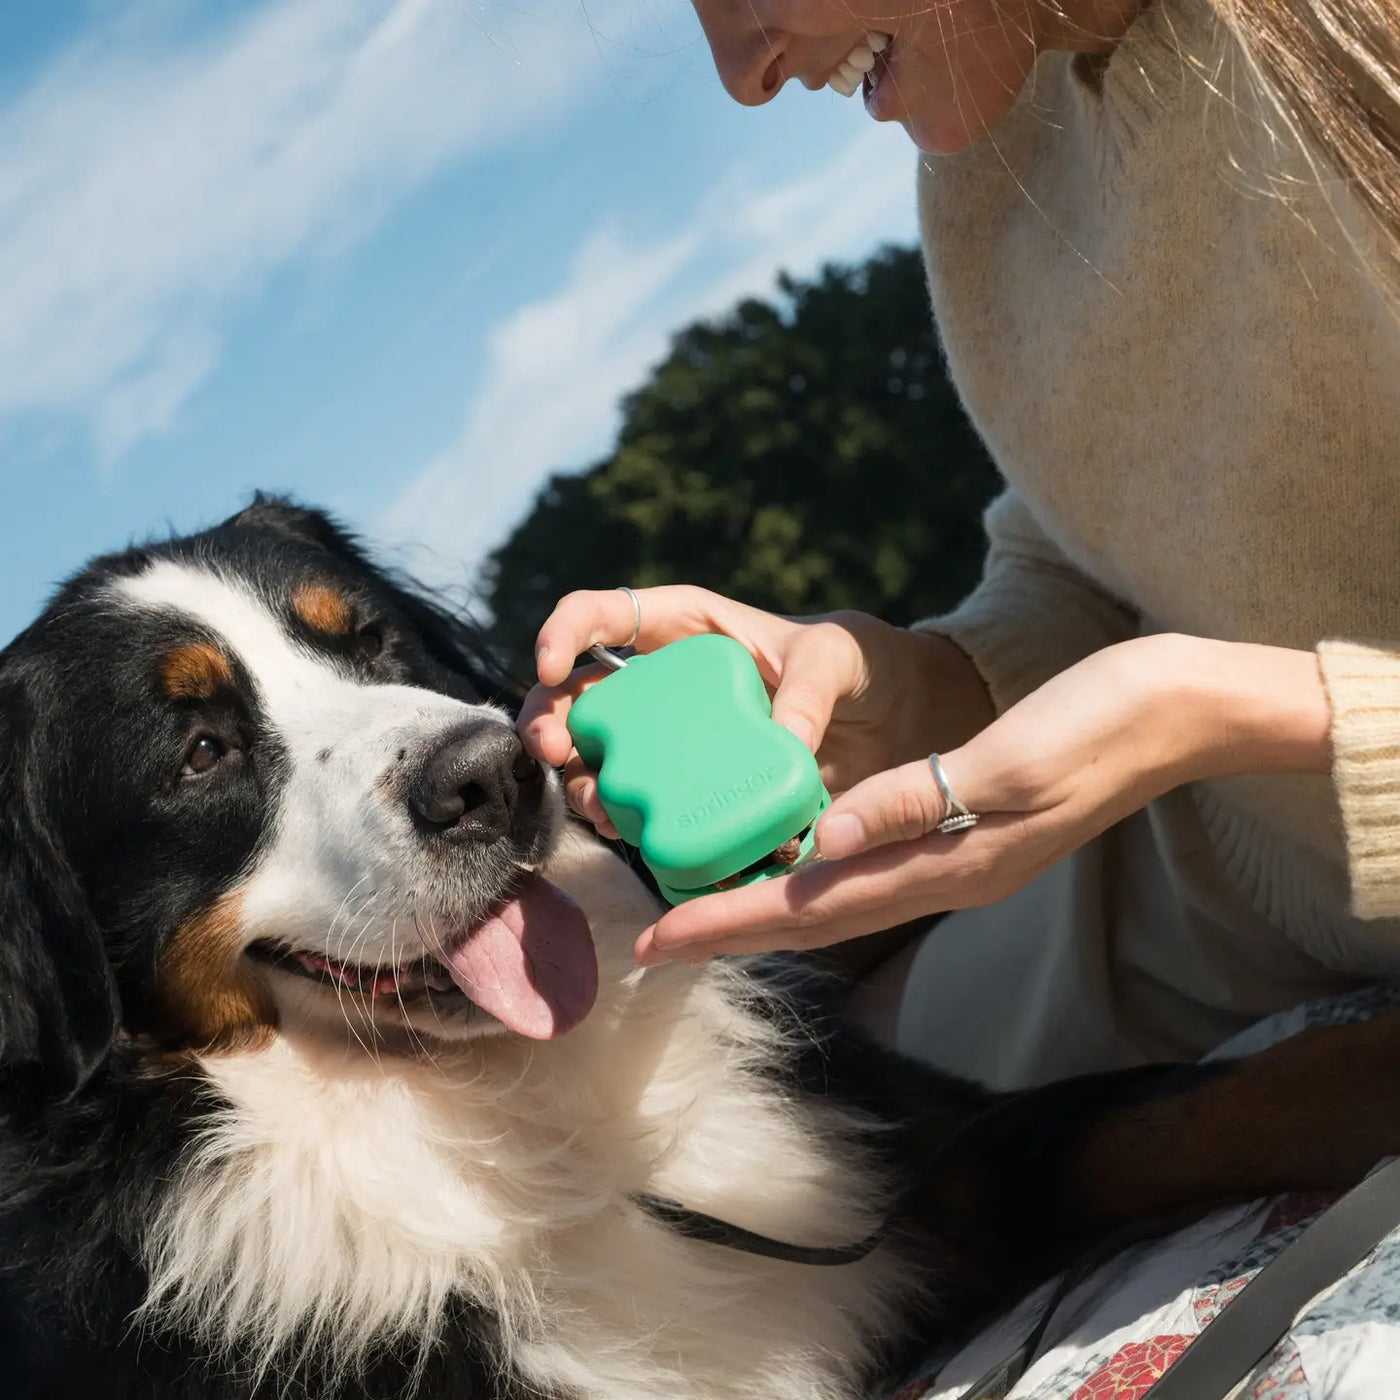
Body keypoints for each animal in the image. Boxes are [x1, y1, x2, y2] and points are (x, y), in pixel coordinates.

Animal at [2, 495, 1400, 1400]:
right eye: (200, 750)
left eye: (369, 641)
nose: (488, 773)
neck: (527, 1125)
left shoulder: (907, 1152)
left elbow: (1193, 1103)